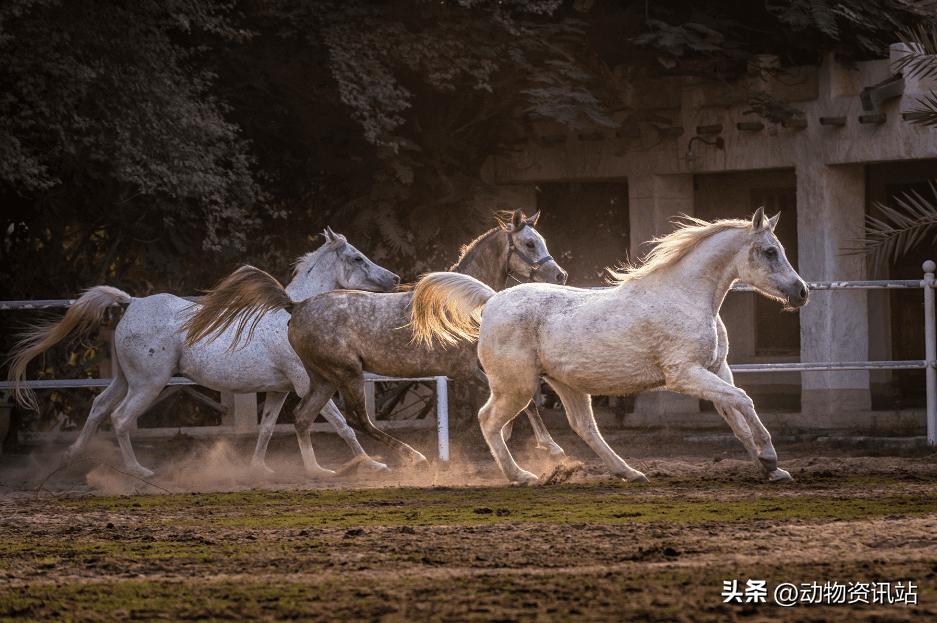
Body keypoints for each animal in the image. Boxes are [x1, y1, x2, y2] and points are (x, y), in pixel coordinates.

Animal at [7, 229, 399, 479]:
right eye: (357, 258)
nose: (393, 279)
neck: (294, 313)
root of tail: (131, 303)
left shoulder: (279, 390)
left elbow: (268, 429)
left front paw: (264, 468)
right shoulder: (308, 384)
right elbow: (343, 425)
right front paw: (371, 465)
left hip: (124, 379)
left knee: (99, 407)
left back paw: (69, 459)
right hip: (148, 384)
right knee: (120, 418)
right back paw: (139, 471)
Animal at [184, 209, 569, 467]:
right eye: (529, 243)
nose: (560, 274)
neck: (460, 303)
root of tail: (295, 306)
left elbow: (523, 404)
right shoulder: (470, 370)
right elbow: (528, 403)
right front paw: (551, 449)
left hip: (323, 378)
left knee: (303, 417)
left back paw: (319, 472)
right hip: (347, 374)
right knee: (356, 420)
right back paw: (411, 458)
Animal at [410, 208, 809, 484]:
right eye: (769, 251)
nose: (802, 291)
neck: (684, 296)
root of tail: (492, 301)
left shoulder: (715, 369)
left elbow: (735, 414)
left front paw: (771, 469)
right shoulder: (684, 375)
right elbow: (744, 400)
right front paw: (770, 457)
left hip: (565, 384)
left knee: (584, 426)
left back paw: (629, 472)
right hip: (516, 386)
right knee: (489, 420)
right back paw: (521, 476)